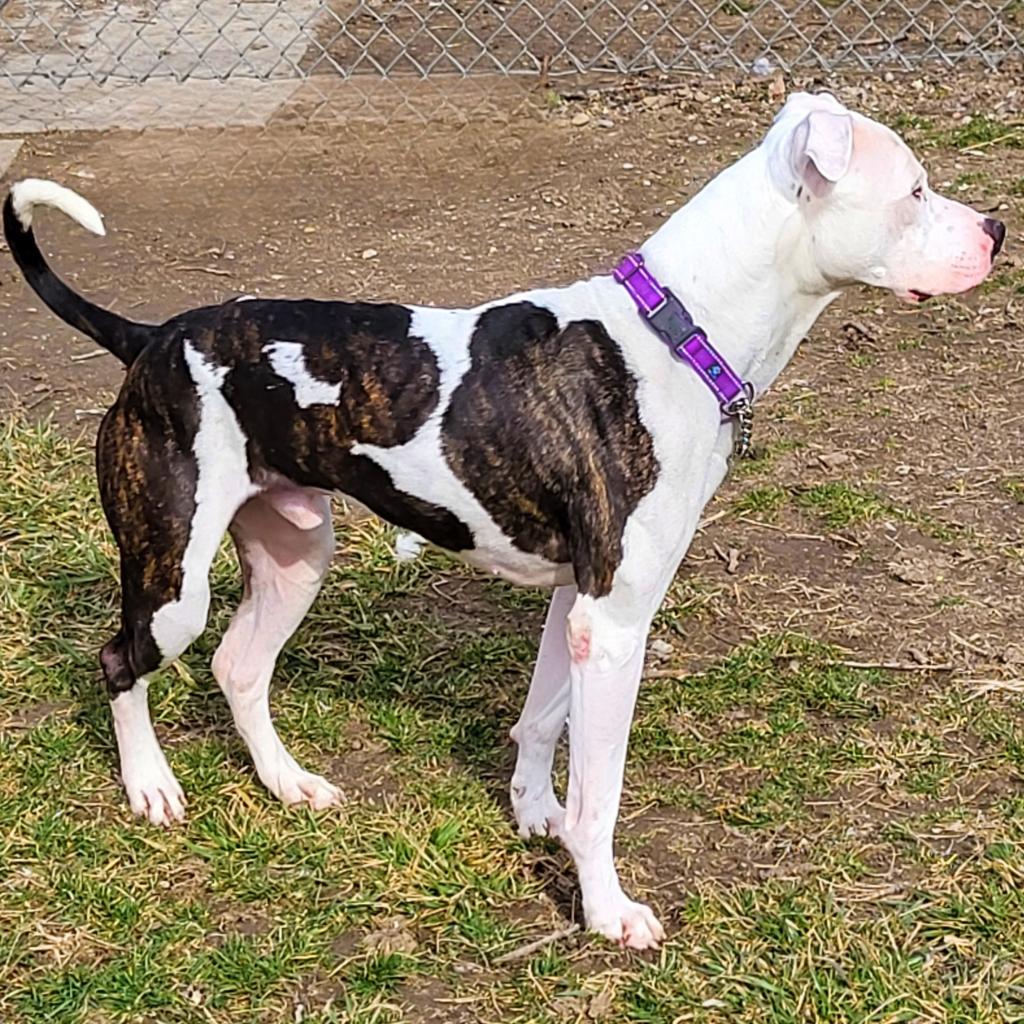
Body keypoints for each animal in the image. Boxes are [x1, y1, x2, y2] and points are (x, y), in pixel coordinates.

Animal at [4, 92, 1003, 946]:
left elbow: (542, 721)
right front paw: (605, 908)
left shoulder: (580, 603)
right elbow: (601, 791)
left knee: (238, 666)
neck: (678, 333)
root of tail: (152, 339)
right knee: (120, 660)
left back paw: (287, 781)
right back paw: (150, 786)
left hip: (295, 555)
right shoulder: (619, 621)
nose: (996, 228)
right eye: (915, 190)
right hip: (172, 576)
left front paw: (533, 815)